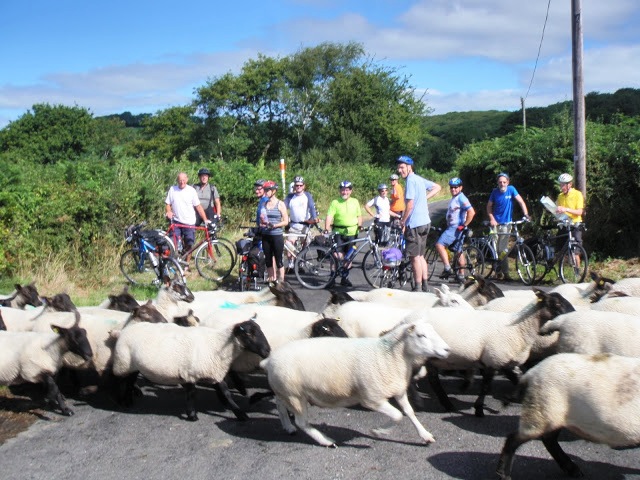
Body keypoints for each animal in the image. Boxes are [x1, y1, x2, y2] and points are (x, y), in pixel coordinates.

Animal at [112, 316, 270, 420]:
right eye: (249, 333)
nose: (268, 351)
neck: (218, 344)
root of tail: (124, 330)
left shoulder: (211, 372)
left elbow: (224, 392)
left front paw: (237, 411)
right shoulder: (191, 373)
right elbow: (193, 393)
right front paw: (192, 415)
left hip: (132, 366)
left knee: (129, 381)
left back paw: (128, 400)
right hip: (122, 362)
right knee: (120, 381)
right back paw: (121, 401)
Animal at [258, 320, 448, 448]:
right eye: (421, 335)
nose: (447, 349)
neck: (387, 355)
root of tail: (269, 361)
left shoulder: (398, 391)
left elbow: (409, 412)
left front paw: (425, 435)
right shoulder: (372, 399)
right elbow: (397, 416)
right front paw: (377, 431)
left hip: (285, 390)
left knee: (280, 404)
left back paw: (288, 427)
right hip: (295, 394)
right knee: (302, 422)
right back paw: (326, 441)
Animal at [498, 352, 640, 480]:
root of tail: (530, 374)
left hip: (550, 413)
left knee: (548, 439)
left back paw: (572, 469)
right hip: (542, 409)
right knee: (514, 439)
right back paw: (504, 475)